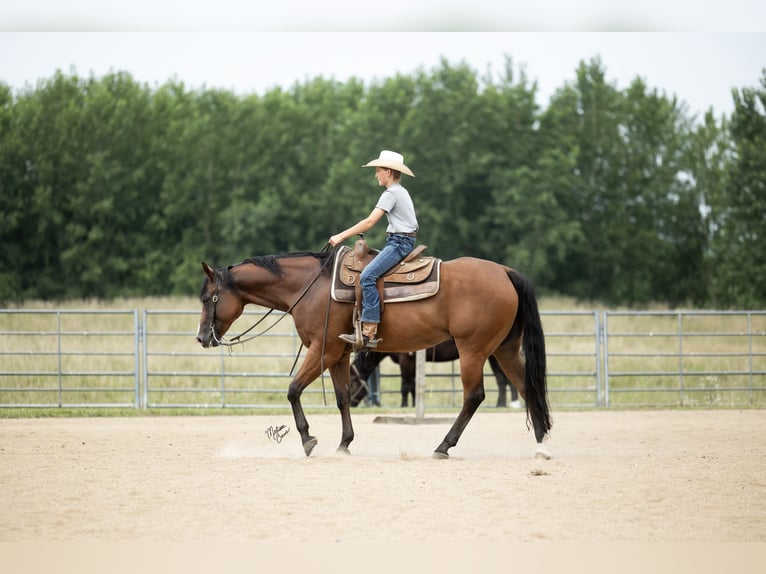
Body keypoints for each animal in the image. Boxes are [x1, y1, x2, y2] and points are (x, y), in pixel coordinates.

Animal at [349, 340, 520, 408]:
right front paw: (413, 405)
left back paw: (512, 403)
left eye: (350, 382)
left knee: (507, 379)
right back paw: (501, 404)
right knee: (501, 379)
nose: (350, 403)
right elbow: (413, 387)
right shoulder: (413, 363)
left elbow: (405, 387)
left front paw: (404, 406)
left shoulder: (406, 361)